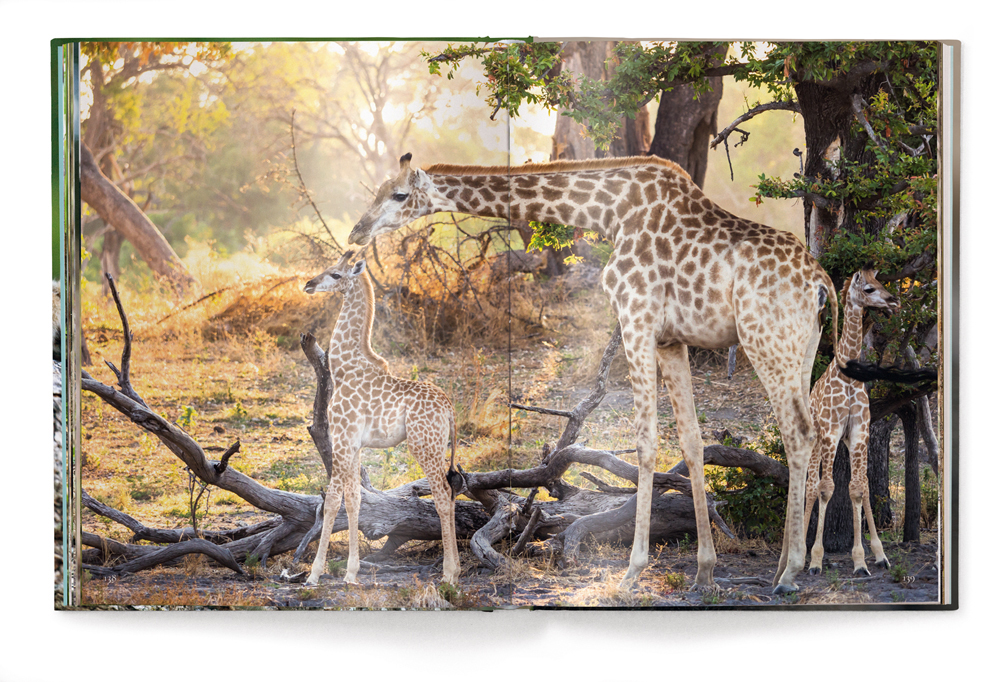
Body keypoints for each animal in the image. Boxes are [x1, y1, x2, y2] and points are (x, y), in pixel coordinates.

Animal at [302, 251, 462, 584]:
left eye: (335, 274)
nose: (309, 284)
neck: (344, 368)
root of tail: (450, 409)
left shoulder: (342, 436)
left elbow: (333, 500)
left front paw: (317, 574)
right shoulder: (355, 443)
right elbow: (355, 499)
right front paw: (351, 572)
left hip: (424, 445)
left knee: (442, 495)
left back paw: (449, 574)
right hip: (437, 446)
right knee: (452, 493)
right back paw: (455, 570)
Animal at [348, 153, 848, 588]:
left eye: (398, 194)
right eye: (375, 190)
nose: (357, 230)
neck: (610, 212)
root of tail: (822, 284)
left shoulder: (637, 318)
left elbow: (647, 442)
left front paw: (633, 570)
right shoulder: (671, 339)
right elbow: (690, 443)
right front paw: (705, 571)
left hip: (766, 340)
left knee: (800, 433)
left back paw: (791, 571)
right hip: (801, 349)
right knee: (804, 434)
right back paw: (783, 564)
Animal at [804, 268, 900, 576]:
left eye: (881, 282)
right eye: (869, 289)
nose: (893, 302)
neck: (848, 376)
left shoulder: (859, 432)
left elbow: (858, 489)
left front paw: (863, 560)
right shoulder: (831, 433)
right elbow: (826, 488)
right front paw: (816, 559)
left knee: (860, 484)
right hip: (816, 442)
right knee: (810, 486)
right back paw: (799, 552)